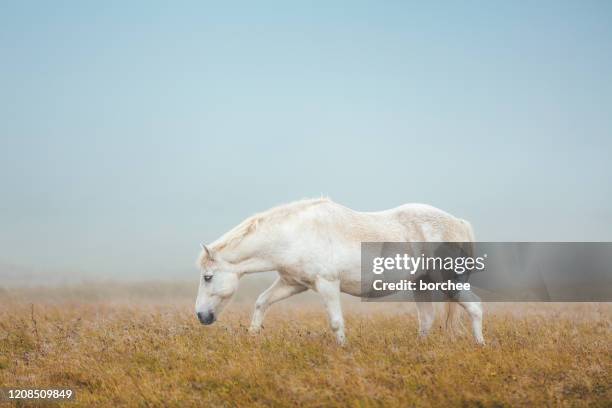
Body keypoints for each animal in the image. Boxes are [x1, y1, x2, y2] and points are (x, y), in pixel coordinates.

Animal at [194, 198, 486, 344]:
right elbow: (261, 302)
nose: (201, 316)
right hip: (421, 286)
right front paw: (253, 336)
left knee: (475, 308)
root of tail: (458, 223)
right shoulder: (292, 283)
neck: (295, 234)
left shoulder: (327, 285)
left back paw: (480, 345)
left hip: (450, 284)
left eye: (208, 277)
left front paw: (343, 349)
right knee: (426, 319)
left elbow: (336, 322)